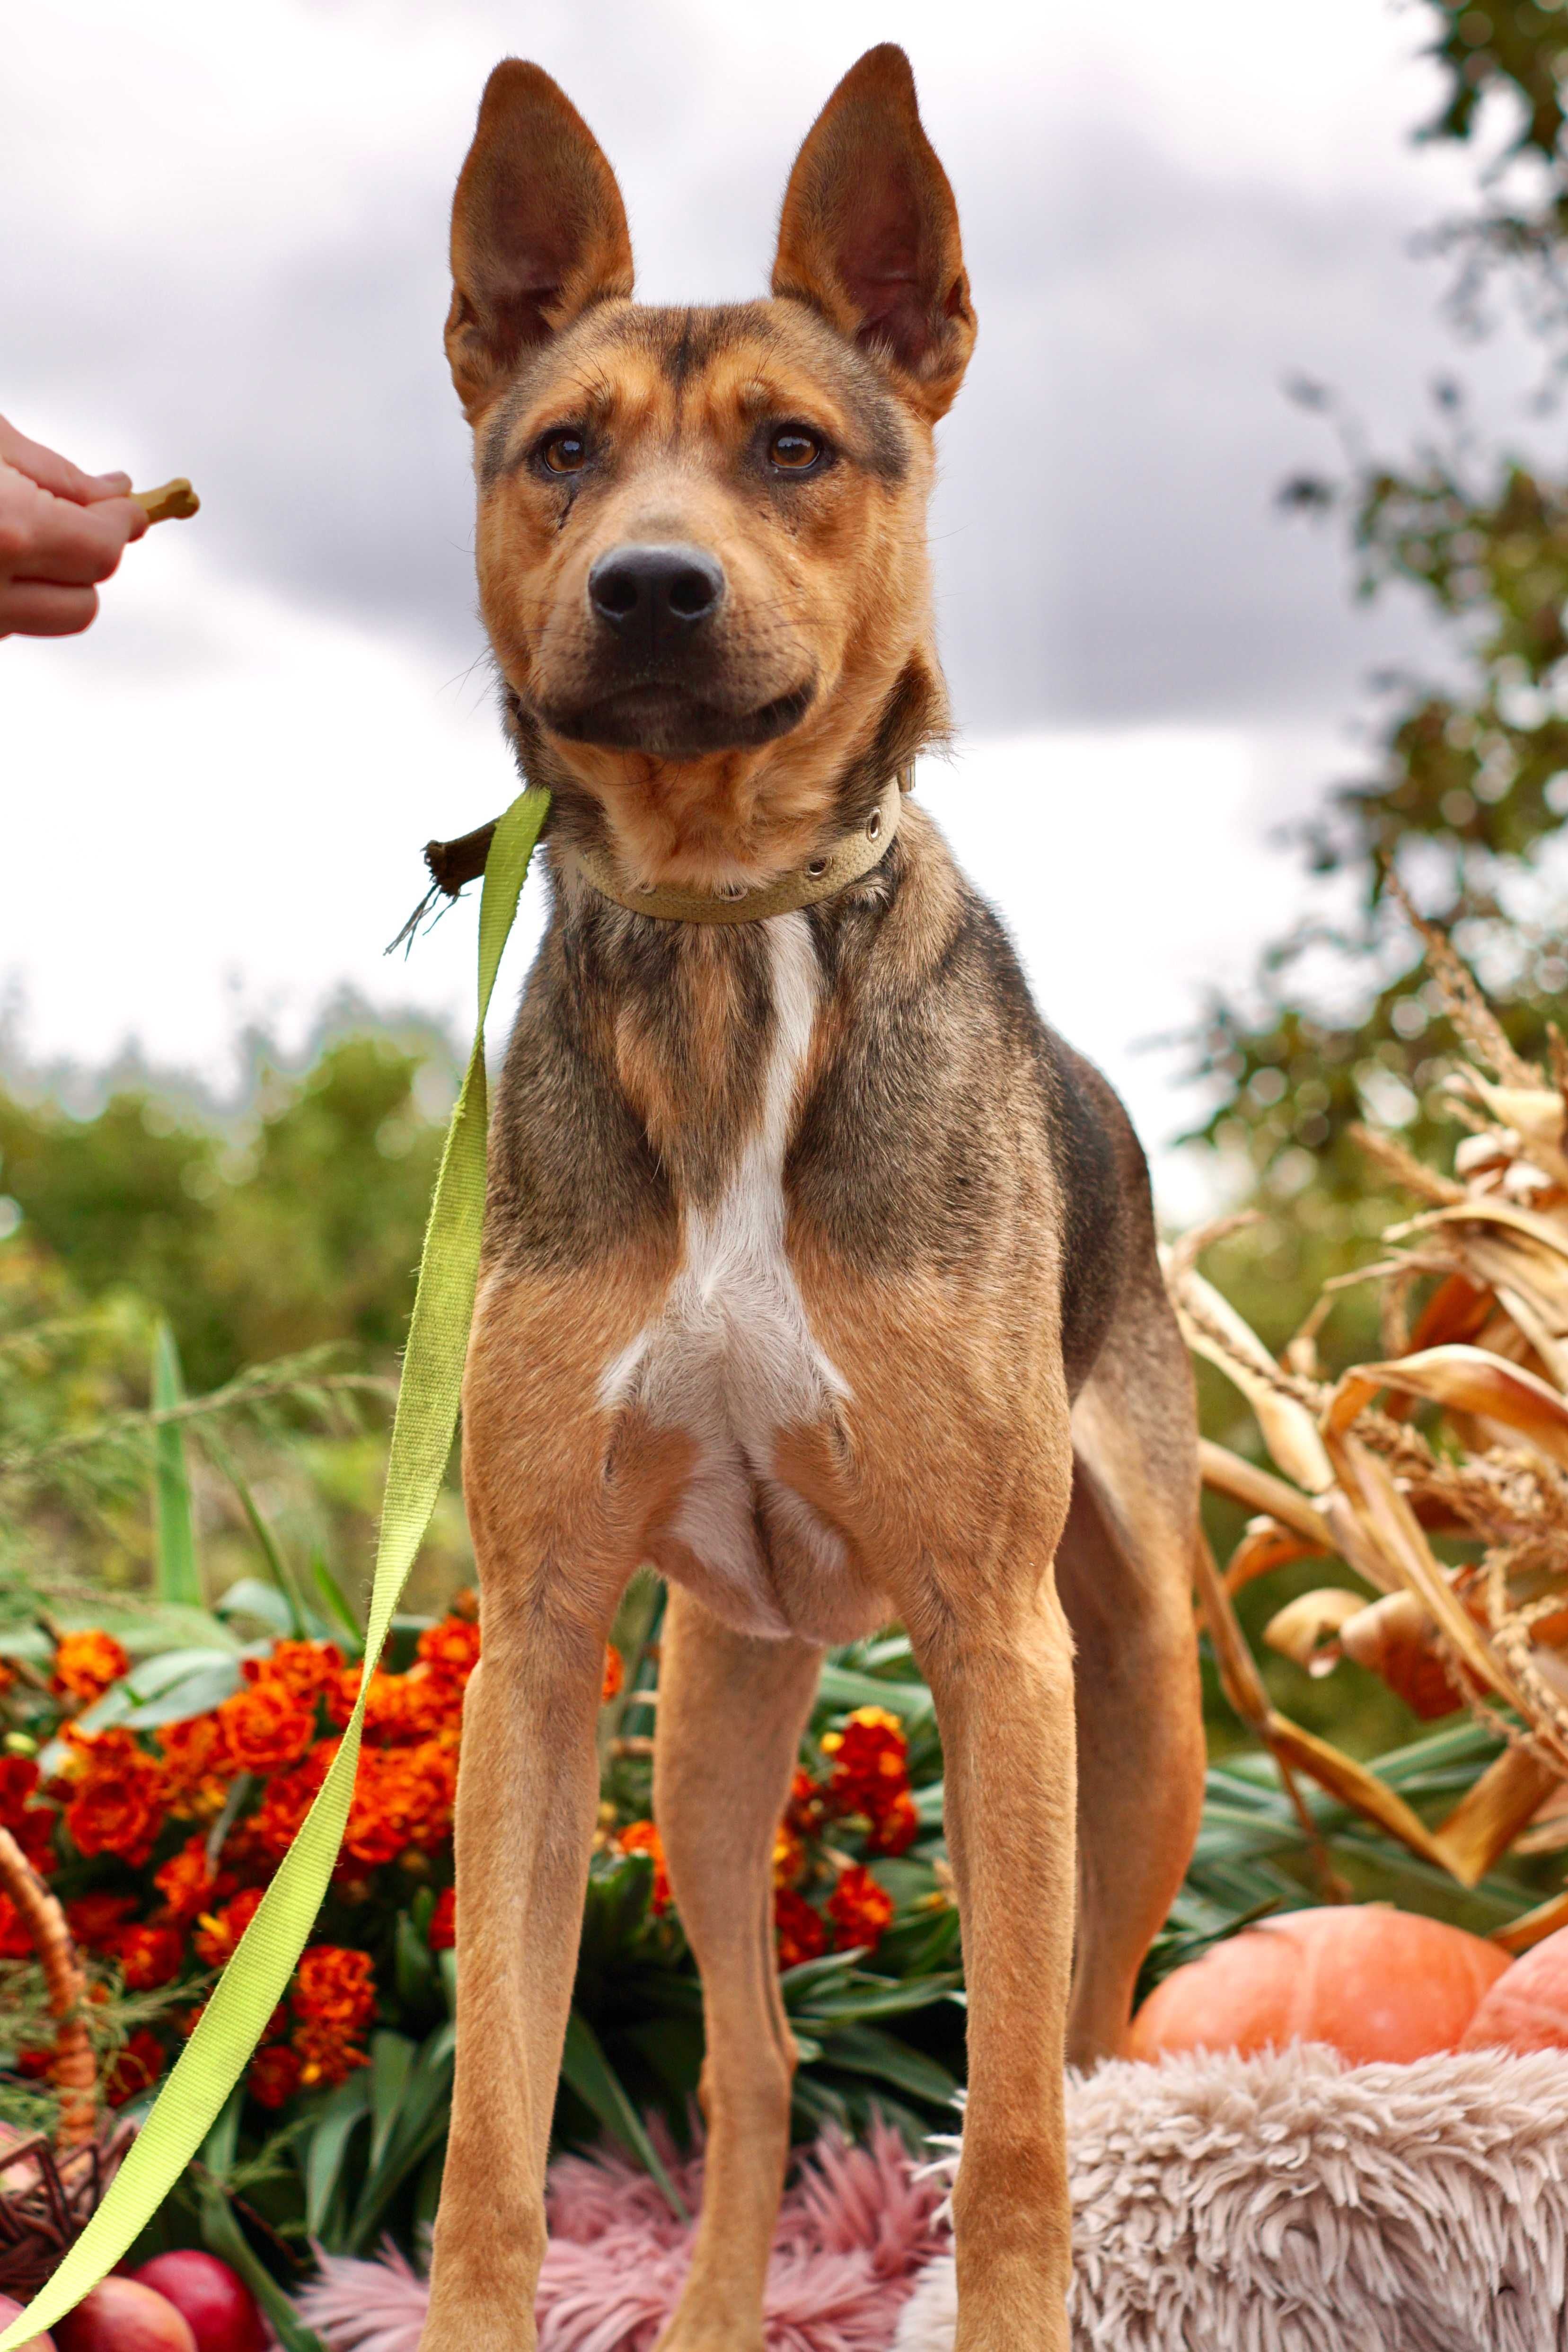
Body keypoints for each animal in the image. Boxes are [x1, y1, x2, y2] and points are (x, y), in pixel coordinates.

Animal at [416, 41, 1203, 2352]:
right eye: (561, 454)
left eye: (792, 449)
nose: (650, 590)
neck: (727, 928)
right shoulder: (539, 1647)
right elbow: (494, 2133)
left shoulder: (996, 1638)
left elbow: (1014, 2127)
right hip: (705, 1719)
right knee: (756, 2050)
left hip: (1136, 1705)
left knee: (1087, 2037)